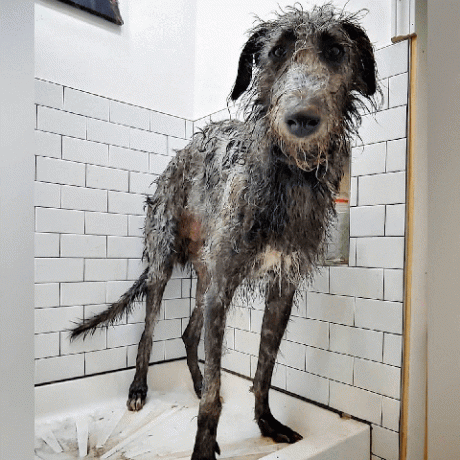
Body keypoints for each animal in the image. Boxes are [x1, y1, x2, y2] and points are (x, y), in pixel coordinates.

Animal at [70, 4, 376, 460]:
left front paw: (266, 423)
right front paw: (203, 445)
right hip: (164, 266)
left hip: (206, 275)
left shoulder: (280, 288)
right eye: (277, 51)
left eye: (337, 51)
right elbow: (217, 387)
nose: (302, 119)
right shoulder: (223, 288)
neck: (285, 179)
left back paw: (194, 383)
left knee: (188, 333)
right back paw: (139, 388)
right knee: (148, 333)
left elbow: (264, 370)